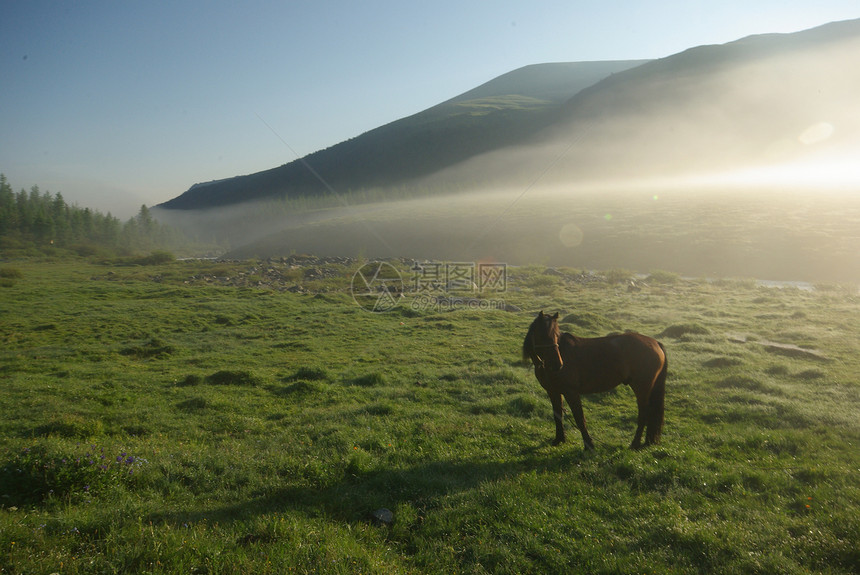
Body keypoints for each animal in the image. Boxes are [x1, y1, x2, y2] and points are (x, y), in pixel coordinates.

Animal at [520, 310, 668, 450]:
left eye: (556, 335)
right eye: (543, 336)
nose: (558, 364)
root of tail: (656, 343)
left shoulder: (571, 392)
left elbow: (579, 418)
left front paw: (589, 445)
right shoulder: (553, 392)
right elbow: (558, 415)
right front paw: (559, 439)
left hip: (642, 388)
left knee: (644, 414)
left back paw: (635, 444)